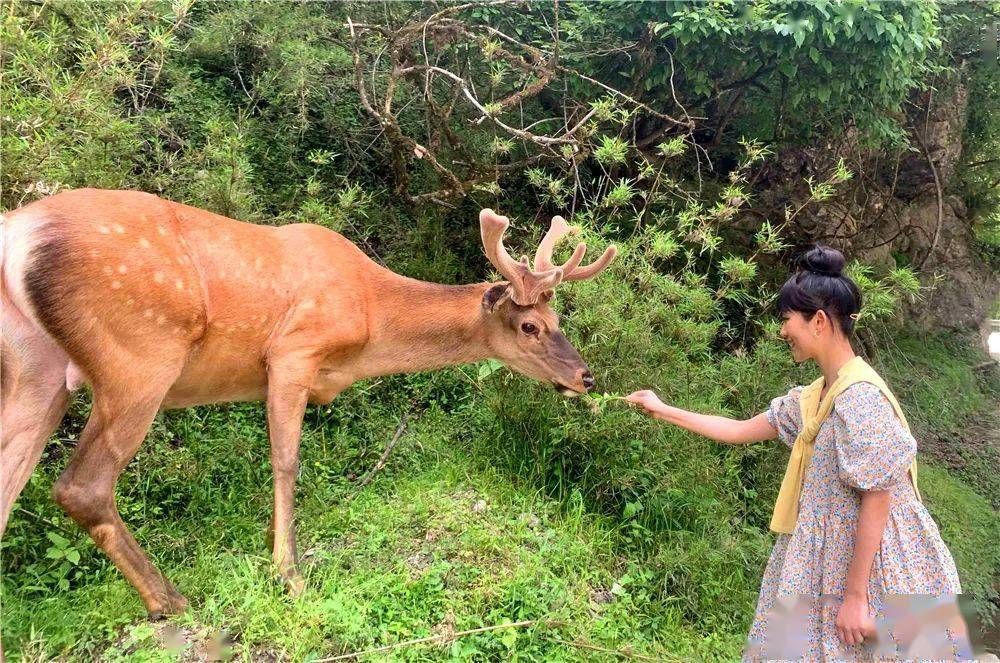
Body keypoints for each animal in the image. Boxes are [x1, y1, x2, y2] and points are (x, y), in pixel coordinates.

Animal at [0, 188, 612, 624]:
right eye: (531, 327)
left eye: (559, 319)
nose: (585, 377)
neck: (369, 317)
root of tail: (16, 235)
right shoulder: (292, 352)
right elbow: (286, 463)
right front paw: (287, 572)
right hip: (138, 354)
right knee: (81, 486)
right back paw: (168, 600)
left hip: (39, 371)